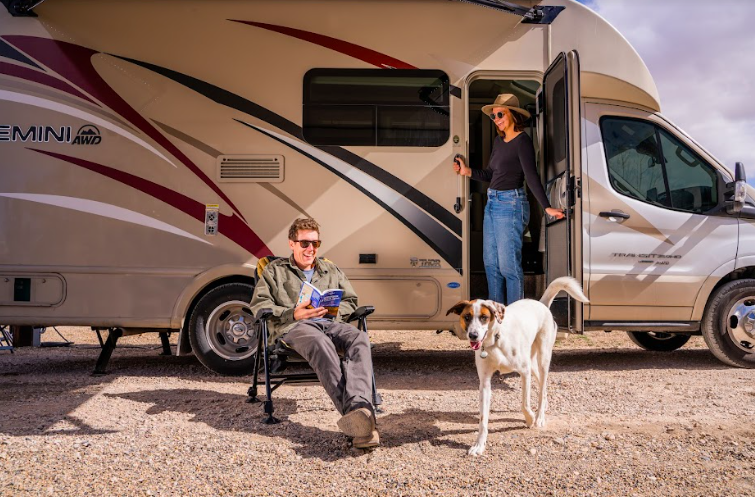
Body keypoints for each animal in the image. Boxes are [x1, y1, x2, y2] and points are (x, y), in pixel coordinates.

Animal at [446, 278, 588, 456]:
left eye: (484, 317)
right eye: (467, 317)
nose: (473, 335)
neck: (495, 341)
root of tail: (540, 303)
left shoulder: (524, 372)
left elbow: (525, 403)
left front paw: (531, 419)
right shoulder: (484, 383)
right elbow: (483, 418)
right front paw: (479, 445)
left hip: (543, 359)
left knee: (542, 387)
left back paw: (540, 417)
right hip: (533, 363)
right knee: (542, 386)